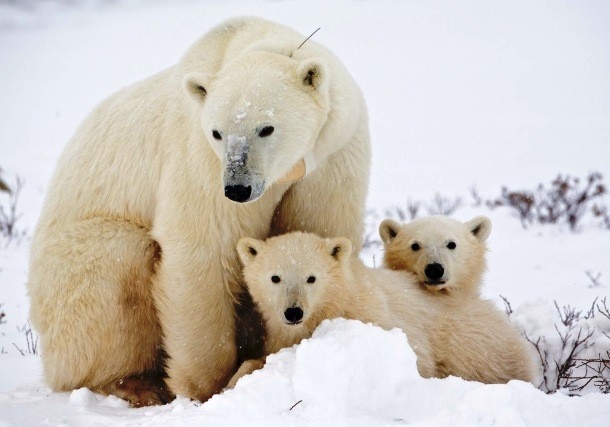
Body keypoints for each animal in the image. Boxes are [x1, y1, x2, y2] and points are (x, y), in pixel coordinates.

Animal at [26, 17, 368, 408]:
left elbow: (318, 229)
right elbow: (203, 246)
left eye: (266, 127)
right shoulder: (199, 155)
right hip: (68, 277)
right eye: (218, 132)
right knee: (116, 264)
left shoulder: (332, 155)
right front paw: (207, 386)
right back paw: (137, 384)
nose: (237, 188)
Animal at [228, 232, 532, 390]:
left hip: (480, 348)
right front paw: (235, 380)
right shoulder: (280, 334)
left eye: (311, 278)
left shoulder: (376, 318)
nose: (293, 312)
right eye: (275, 277)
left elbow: (417, 360)